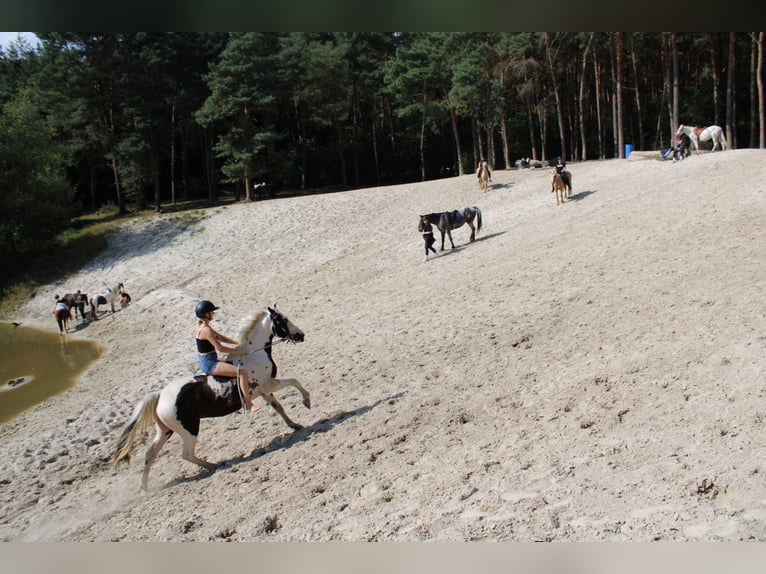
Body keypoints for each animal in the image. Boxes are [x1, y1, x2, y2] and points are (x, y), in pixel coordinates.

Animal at [112, 306, 308, 490]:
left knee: (150, 453)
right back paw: (214, 465)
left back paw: (145, 487)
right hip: (190, 429)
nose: (301, 335)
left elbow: (279, 407)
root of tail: (160, 396)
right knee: (186, 454)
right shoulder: (268, 385)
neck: (254, 354)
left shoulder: (263, 391)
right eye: (283, 320)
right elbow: (295, 381)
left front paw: (295, 425)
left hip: (165, 431)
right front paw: (307, 402)